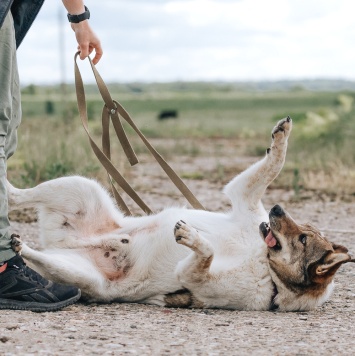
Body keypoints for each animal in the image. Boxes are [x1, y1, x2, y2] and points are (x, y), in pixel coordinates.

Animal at [8, 118, 355, 310]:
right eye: (303, 226)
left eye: (303, 238)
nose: (276, 209)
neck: (264, 263)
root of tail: (66, 244)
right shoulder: (243, 196)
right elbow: (273, 164)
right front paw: (281, 137)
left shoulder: (193, 277)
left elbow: (205, 254)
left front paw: (192, 237)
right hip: (80, 188)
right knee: (21, 195)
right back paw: (8, 188)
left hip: (78, 272)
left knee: (38, 255)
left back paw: (23, 246)